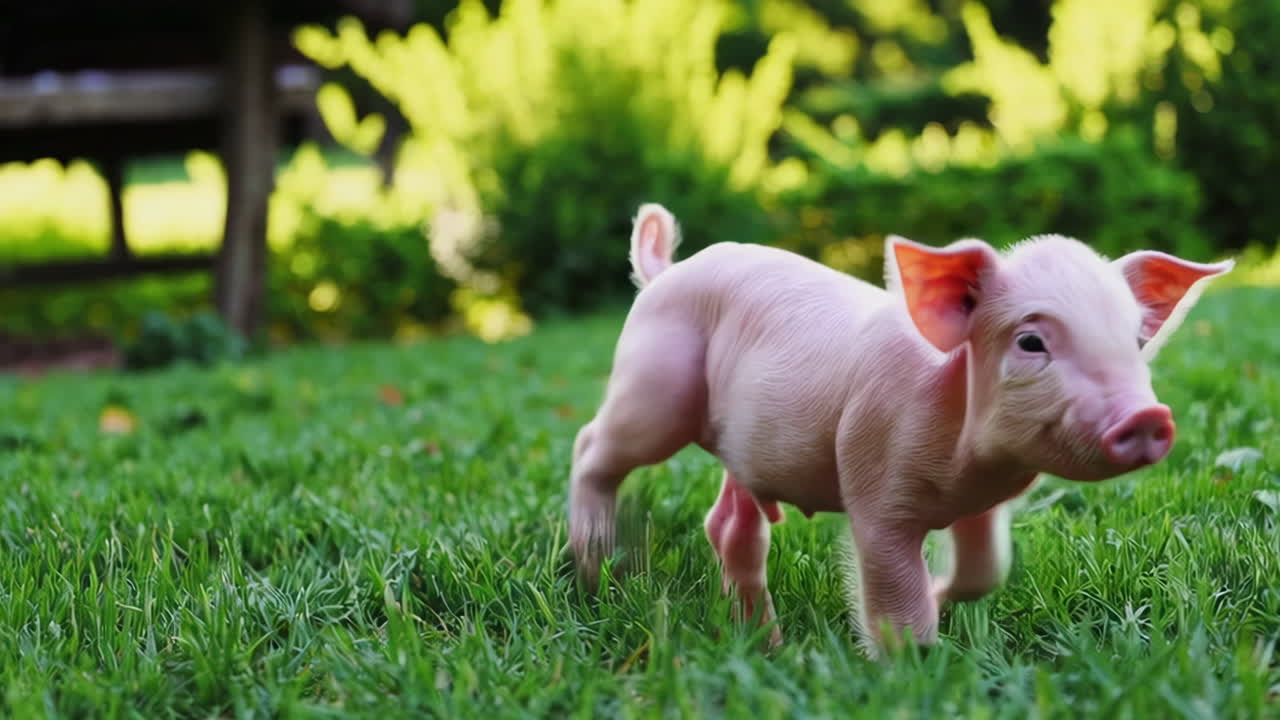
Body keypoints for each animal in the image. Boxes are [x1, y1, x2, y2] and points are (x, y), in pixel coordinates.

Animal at [568, 203, 1233, 653]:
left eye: (1135, 341)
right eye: (1031, 342)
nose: (1147, 417)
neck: (970, 463)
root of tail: (663, 273)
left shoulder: (984, 503)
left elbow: (986, 569)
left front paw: (941, 596)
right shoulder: (874, 486)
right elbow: (893, 591)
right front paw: (909, 663)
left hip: (740, 448)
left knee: (729, 527)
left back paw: (767, 644)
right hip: (653, 388)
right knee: (591, 448)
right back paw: (594, 570)